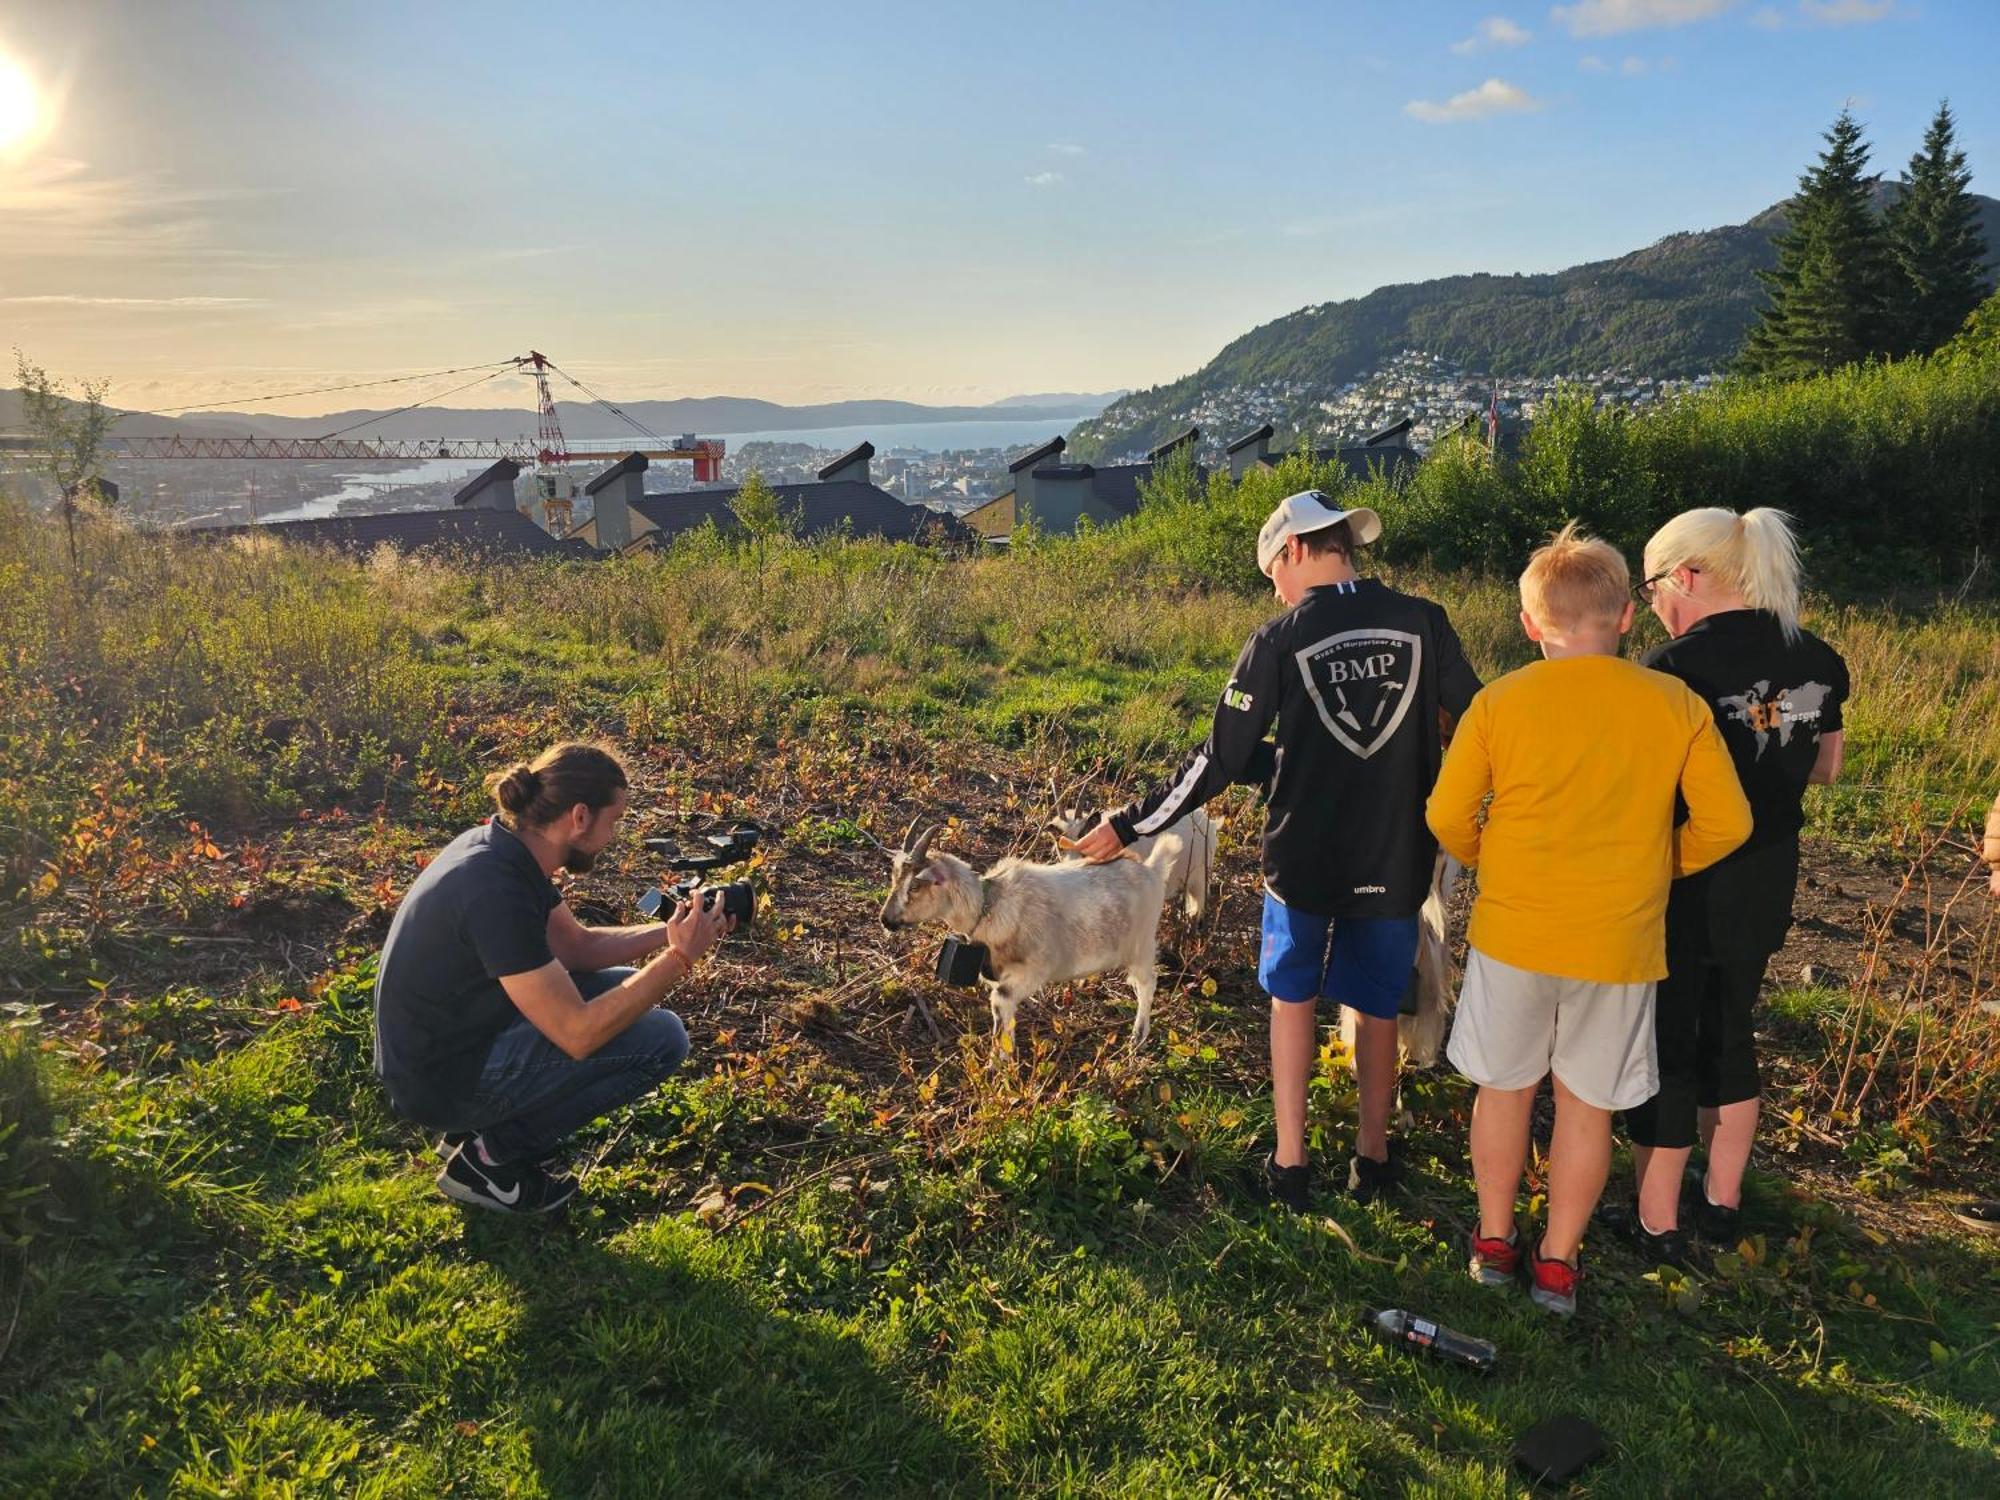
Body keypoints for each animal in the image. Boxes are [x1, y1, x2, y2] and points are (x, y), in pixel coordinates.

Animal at [880, 824, 1184, 1056]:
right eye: (894, 878)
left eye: (915, 885)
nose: (886, 920)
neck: (988, 905)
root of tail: (1152, 870)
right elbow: (1003, 1017)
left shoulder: (1032, 971)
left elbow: (1000, 1003)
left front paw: (1000, 1065)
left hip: (1141, 946)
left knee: (1148, 984)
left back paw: (1137, 1039)